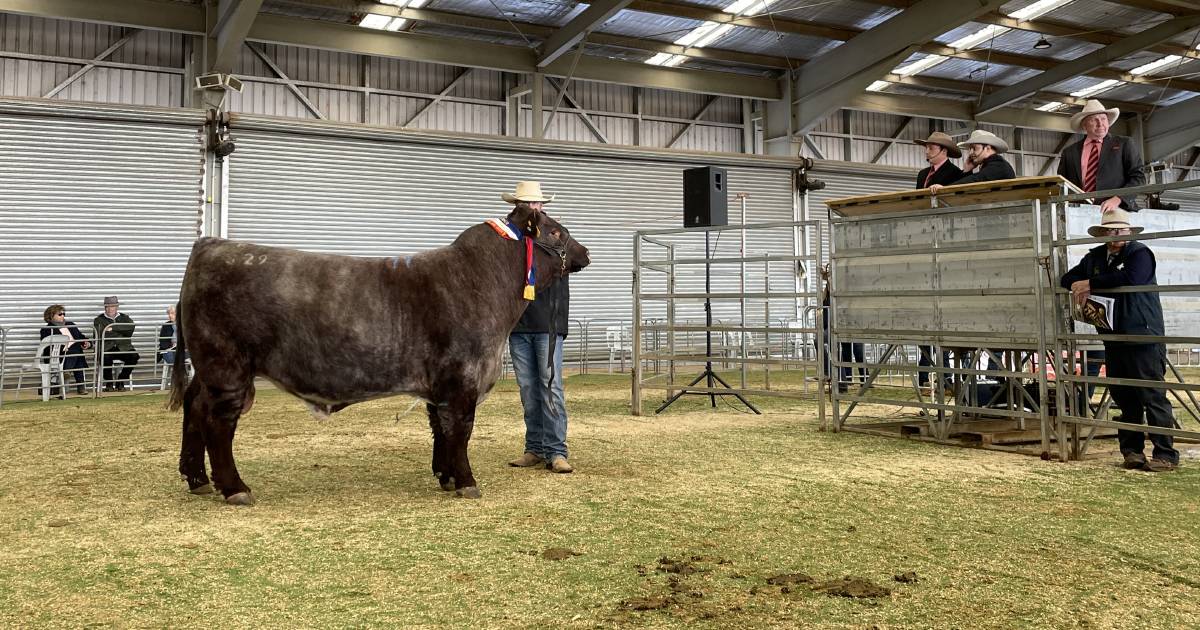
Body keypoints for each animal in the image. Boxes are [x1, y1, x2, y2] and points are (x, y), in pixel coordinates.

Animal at [169, 204, 590, 504]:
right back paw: (235, 488)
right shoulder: (462, 378)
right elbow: (460, 429)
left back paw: (197, 479)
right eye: (555, 231)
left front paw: (446, 477)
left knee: (193, 407)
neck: (484, 280)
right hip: (227, 366)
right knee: (217, 422)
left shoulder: (439, 385)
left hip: (208, 369)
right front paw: (467, 482)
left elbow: (440, 428)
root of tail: (211, 244)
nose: (586, 251)